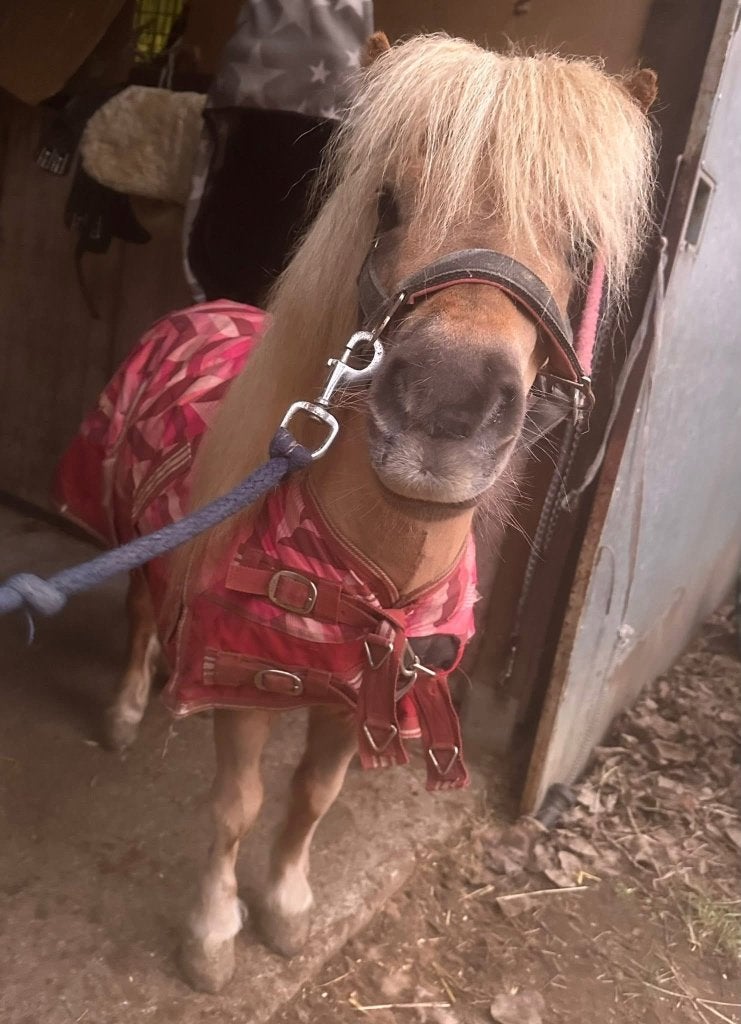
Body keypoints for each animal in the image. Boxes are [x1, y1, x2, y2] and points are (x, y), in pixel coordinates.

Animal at [54, 33, 656, 992]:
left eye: (579, 236)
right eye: (387, 200)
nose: (446, 406)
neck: (368, 569)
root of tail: (195, 310)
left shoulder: (359, 695)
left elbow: (312, 797)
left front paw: (286, 905)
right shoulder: (248, 684)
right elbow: (238, 805)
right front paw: (213, 933)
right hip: (141, 535)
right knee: (144, 609)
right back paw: (123, 711)